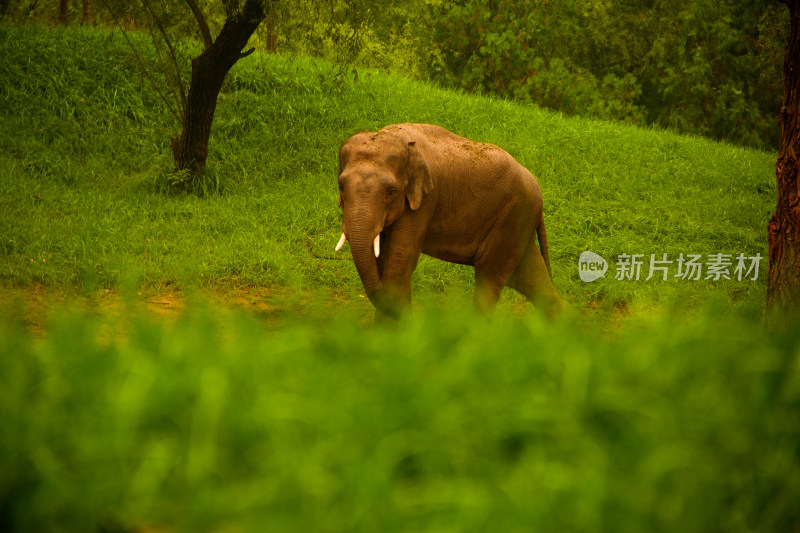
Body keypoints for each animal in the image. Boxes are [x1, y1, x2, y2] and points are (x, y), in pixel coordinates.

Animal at [334, 122, 560, 318]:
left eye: (390, 192)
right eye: (341, 187)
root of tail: (538, 191)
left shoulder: (426, 199)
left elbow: (398, 262)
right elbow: (382, 261)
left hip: (513, 216)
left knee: (489, 279)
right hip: (519, 221)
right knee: (531, 281)